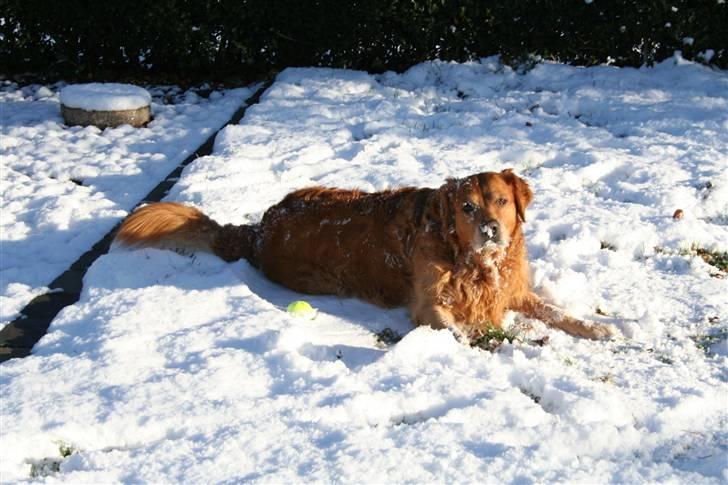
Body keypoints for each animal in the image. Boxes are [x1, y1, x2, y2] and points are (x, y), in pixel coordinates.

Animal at [115, 170, 616, 340]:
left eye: (501, 201)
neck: (471, 261)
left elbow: (557, 312)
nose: (491, 230)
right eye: (467, 208)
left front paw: (596, 327)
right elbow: (453, 329)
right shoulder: (427, 305)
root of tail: (259, 229)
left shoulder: (511, 290)